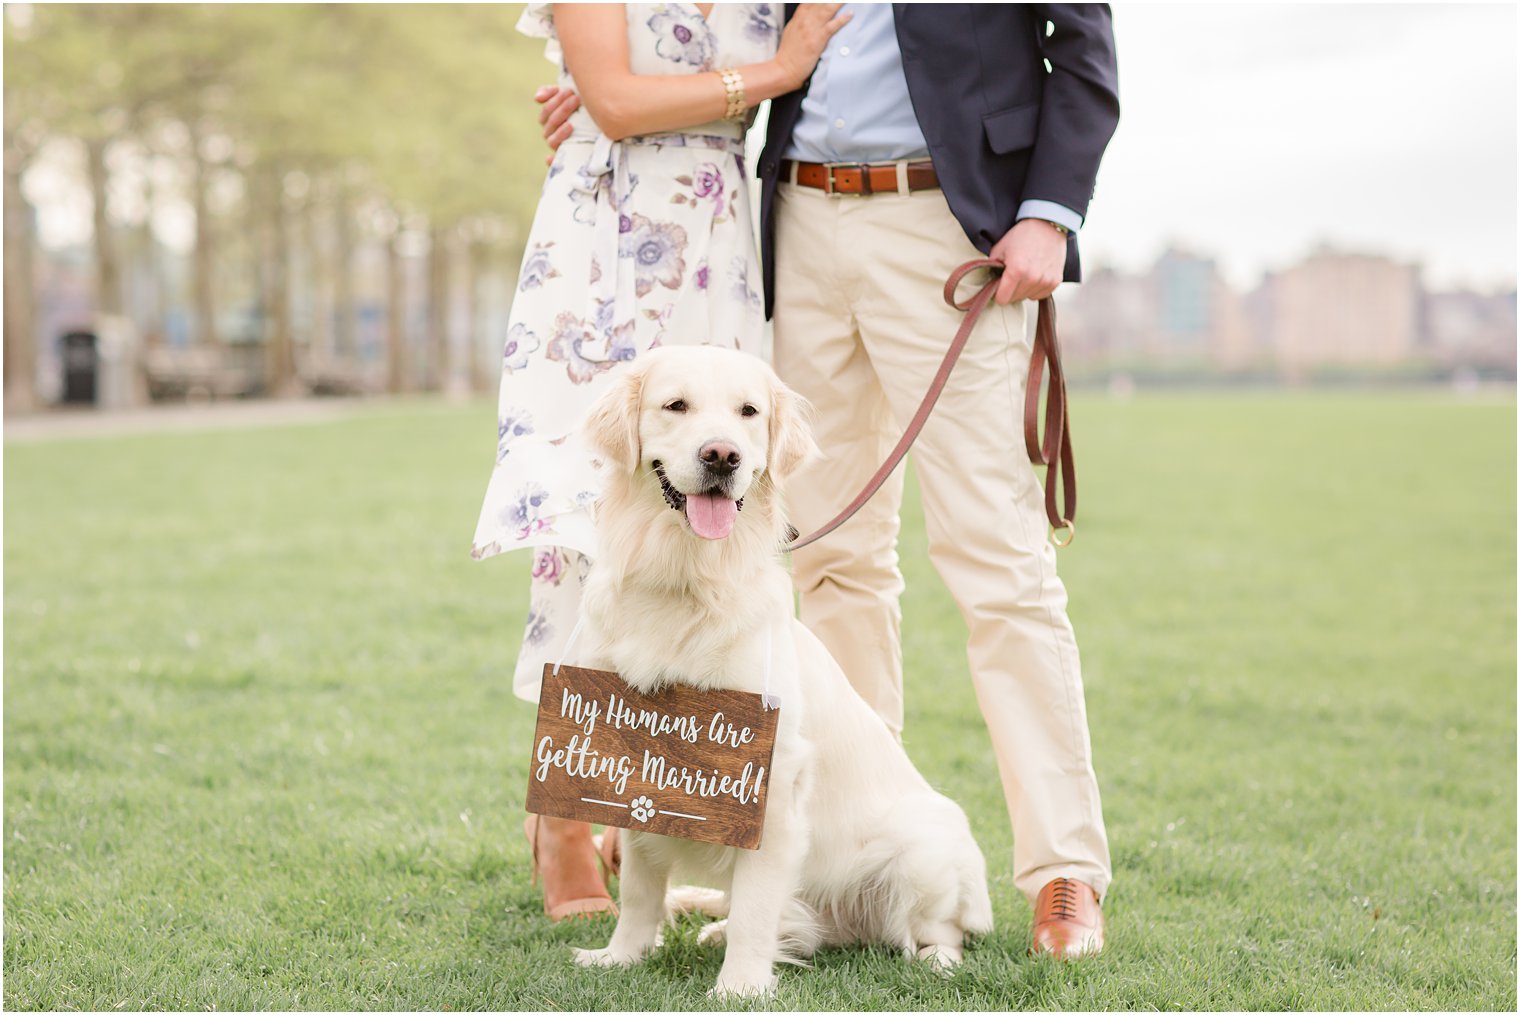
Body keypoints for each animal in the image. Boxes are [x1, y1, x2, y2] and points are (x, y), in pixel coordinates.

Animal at [571, 344, 997, 996]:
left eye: (748, 412)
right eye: (675, 405)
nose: (722, 455)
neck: (688, 578)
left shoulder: (769, 779)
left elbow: (755, 905)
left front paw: (740, 988)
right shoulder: (637, 762)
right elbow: (641, 890)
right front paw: (621, 957)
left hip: (923, 845)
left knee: (935, 931)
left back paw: (936, 962)